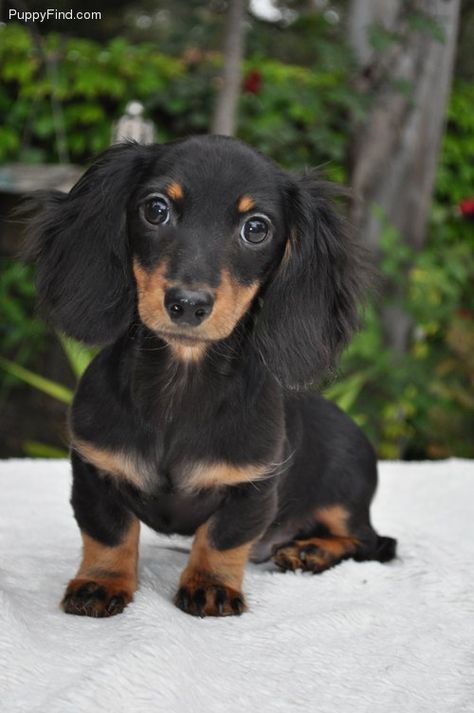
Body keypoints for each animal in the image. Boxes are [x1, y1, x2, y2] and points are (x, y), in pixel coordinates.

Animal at [25, 135, 396, 616]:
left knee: (371, 542)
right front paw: (101, 583)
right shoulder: (95, 471)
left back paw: (310, 550)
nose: (187, 304)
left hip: (343, 501)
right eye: (156, 209)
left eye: (256, 228)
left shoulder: (251, 487)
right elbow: (109, 534)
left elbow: (222, 540)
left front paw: (211, 586)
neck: (180, 386)